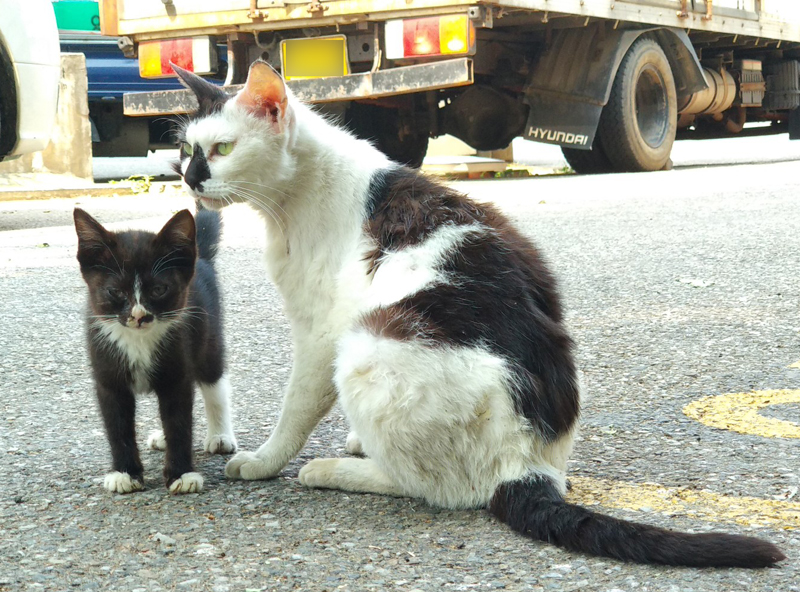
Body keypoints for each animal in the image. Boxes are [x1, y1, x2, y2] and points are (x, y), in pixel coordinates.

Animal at [74, 207, 237, 494]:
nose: (139, 316)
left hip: (209, 335)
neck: (138, 341)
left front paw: (181, 474)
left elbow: (179, 422)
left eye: (159, 289)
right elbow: (118, 426)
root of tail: (199, 256)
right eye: (115, 291)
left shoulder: (178, 367)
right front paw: (124, 473)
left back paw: (220, 435)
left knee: (214, 381)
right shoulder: (107, 376)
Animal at [169, 61, 784, 567]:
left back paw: (333, 472)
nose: (188, 178)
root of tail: (533, 465)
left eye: (221, 149)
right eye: (187, 150)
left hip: (368, 346)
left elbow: (295, 409)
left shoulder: (321, 334)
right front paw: (352, 437)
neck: (298, 196)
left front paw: (264, 460)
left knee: (438, 488)